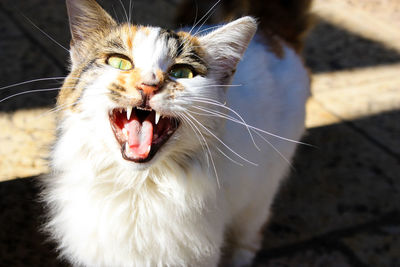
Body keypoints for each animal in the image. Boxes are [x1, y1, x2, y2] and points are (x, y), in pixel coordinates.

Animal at [41, 0, 312, 266]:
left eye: (182, 73)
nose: (148, 85)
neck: (137, 185)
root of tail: (271, 36)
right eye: (119, 62)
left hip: (260, 194)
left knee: (250, 234)